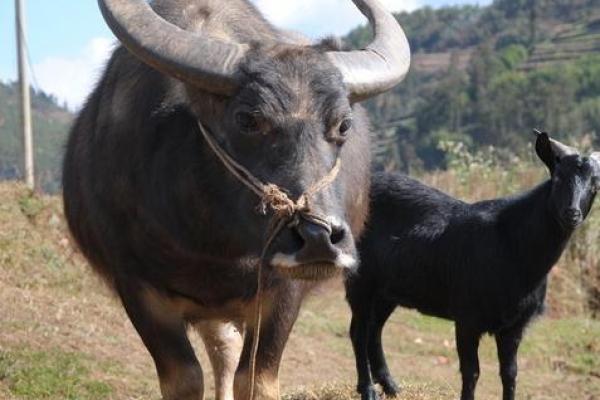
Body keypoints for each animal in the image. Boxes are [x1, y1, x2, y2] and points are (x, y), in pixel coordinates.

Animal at [63, 0, 410, 400]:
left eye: (344, 125)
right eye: (247, 119)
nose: (319, 239)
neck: (214, 242)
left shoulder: (282, 292)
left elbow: (256, 380)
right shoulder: (137, 287)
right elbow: (184, 379)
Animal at [344, 131, 600, 400]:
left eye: (595, 185)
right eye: (558, 178)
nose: (572, 213)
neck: (513, 243)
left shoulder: (514, 326)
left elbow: (510, 373)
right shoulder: (467, 317)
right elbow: (471, 372)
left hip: (389, 290)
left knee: (374, 331)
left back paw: (390, 386)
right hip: (361, 280)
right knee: (359, 332)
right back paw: (368, 389)